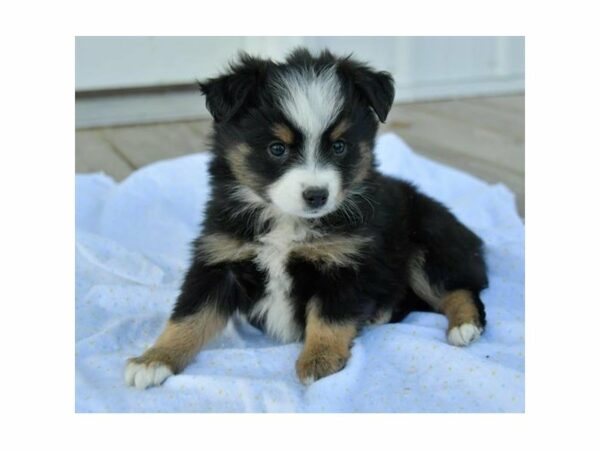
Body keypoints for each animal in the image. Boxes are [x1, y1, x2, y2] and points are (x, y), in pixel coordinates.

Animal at [125, 47, 488, 388]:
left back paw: (464, 325)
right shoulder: (220, 258)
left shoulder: (345, 263)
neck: (285, 221)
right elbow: (189, 316)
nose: (317, 195)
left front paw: (319, 360)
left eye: (339, 146)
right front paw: (154, 359)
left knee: (460, 288)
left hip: (428, 242)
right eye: (277, 148)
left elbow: (328, 317)